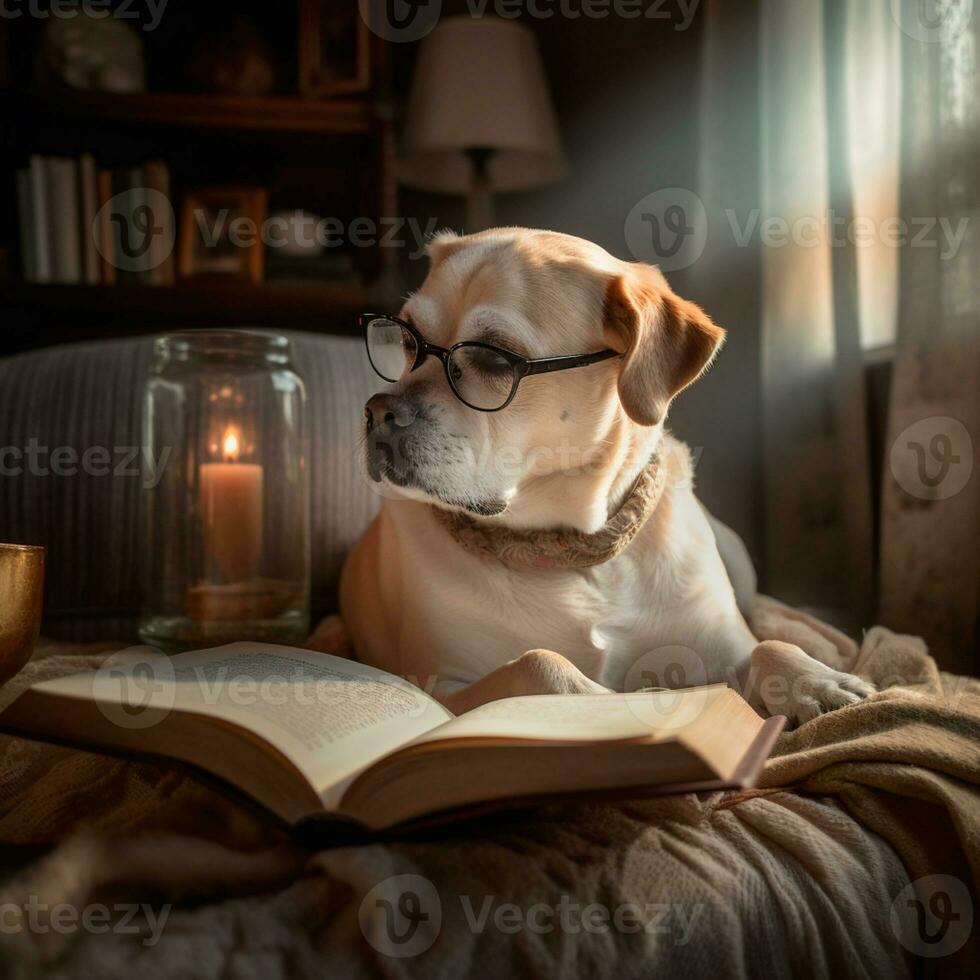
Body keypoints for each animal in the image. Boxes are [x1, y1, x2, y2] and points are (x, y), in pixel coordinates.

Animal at [340, 226, 876, 724]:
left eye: (493, 355)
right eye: (406, 337)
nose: (377, 412)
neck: (577, 551)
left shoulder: (720, 641)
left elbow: (764, 647)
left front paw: (815, 680)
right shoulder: (443, 688)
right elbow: (542, 663)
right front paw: (627, 698)